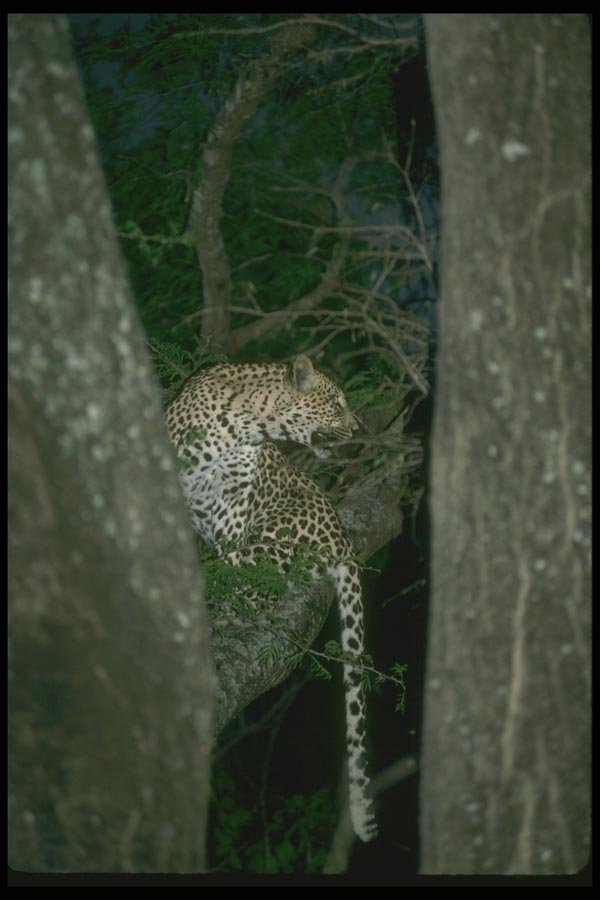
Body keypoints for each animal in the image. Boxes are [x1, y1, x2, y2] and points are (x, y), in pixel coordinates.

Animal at [166, 354, 377, 843]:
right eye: (337, 404)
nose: (358, 427)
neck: (249, 425)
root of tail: (344, 540)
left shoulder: (231, 517)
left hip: (272, 541)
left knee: (251, 591)